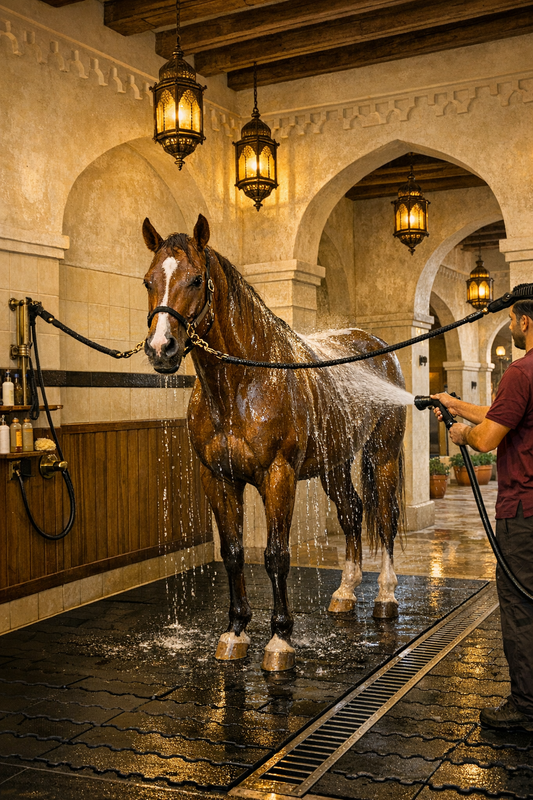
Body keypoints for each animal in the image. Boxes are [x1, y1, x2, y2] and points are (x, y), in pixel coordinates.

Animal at [142, 213, 406, 672]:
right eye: (148, 281)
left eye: (196, 279)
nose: (161, 348)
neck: (241, 386)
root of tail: (380, 348)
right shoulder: (218, 479)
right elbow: (233, 553)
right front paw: (235, 632)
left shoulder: (278, 477)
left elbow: (276, 556)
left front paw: (280, 640)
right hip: (335, 465)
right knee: (352, 512)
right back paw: (346, 591)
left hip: (383, 455)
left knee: (385, 519)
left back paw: (386, 596)